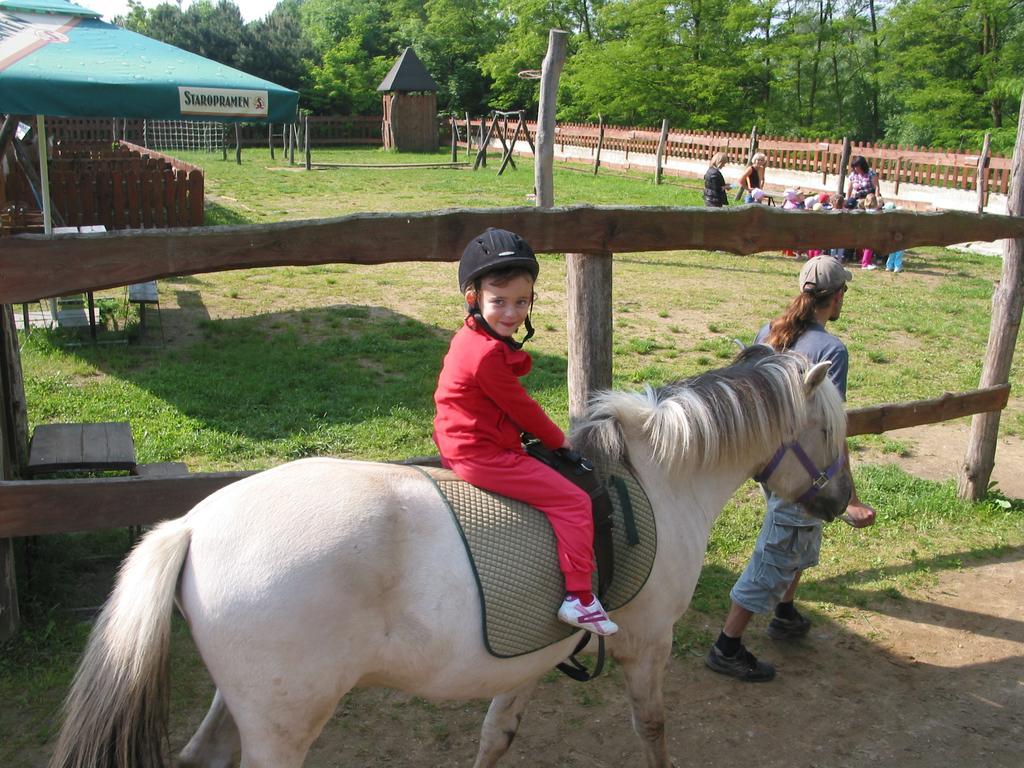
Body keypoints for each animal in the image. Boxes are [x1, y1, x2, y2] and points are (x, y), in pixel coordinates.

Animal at [48, 348, 847, 768]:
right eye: (829, 430)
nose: (842, 502)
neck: (657, 479)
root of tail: (192, 524)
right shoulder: (649, 646)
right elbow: (651, 729)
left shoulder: (528, 662)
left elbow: (498, 734)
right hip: (282, 727)